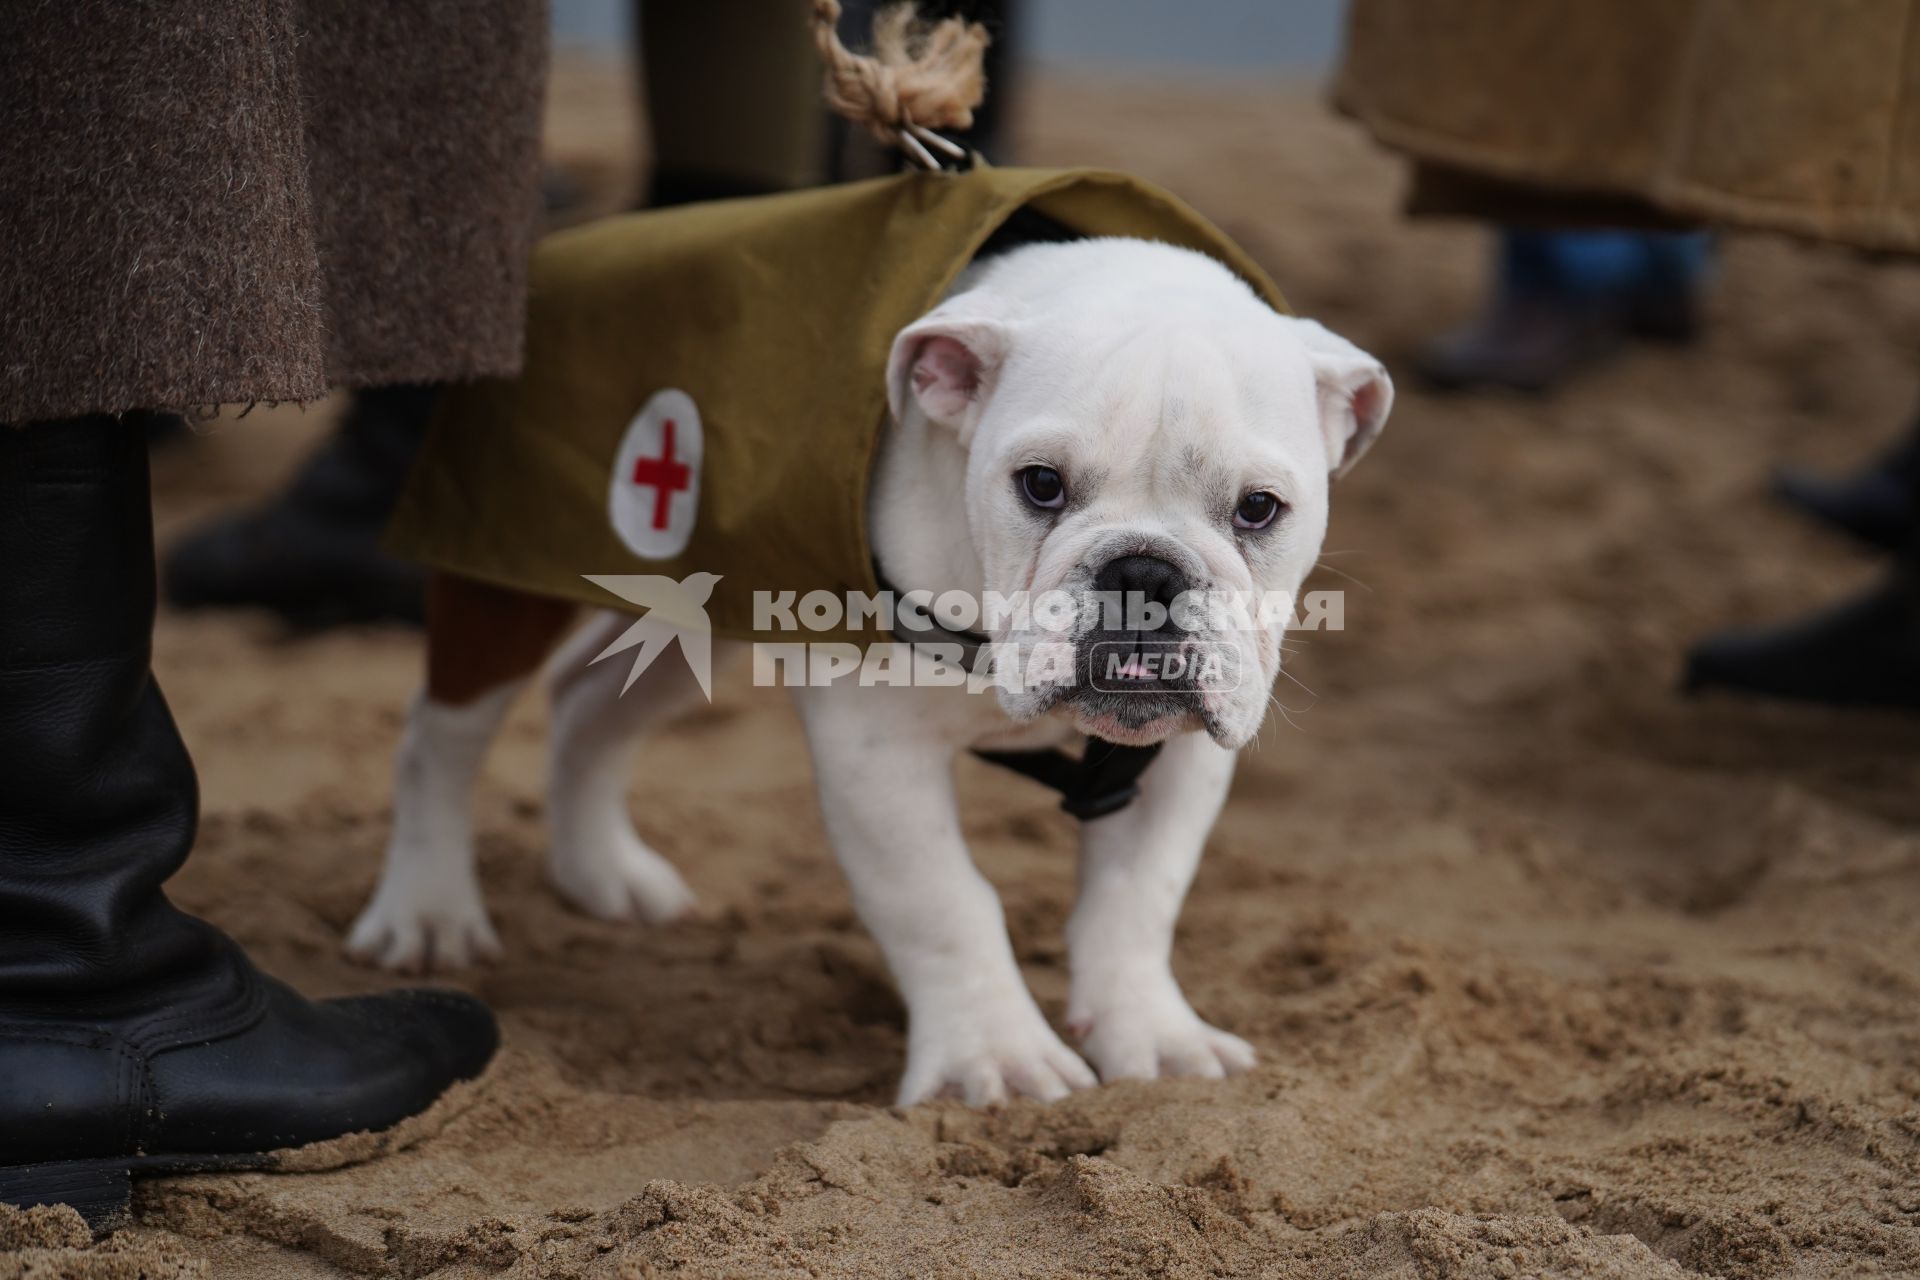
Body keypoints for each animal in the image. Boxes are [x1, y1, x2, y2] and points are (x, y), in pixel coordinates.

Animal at [349, 235, 1397, 1105]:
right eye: (1040, 485)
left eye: (1259, 509)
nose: (1144, 569)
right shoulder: (875, 747)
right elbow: (941, 898)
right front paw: (996, 1060)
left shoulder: (1178, 757)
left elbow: (1138, 896)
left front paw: (1153, 1037)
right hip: (500, 588)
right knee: (440, 736)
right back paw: (429, 912)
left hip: (702, 622)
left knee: (584, 709)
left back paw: (601, 872)